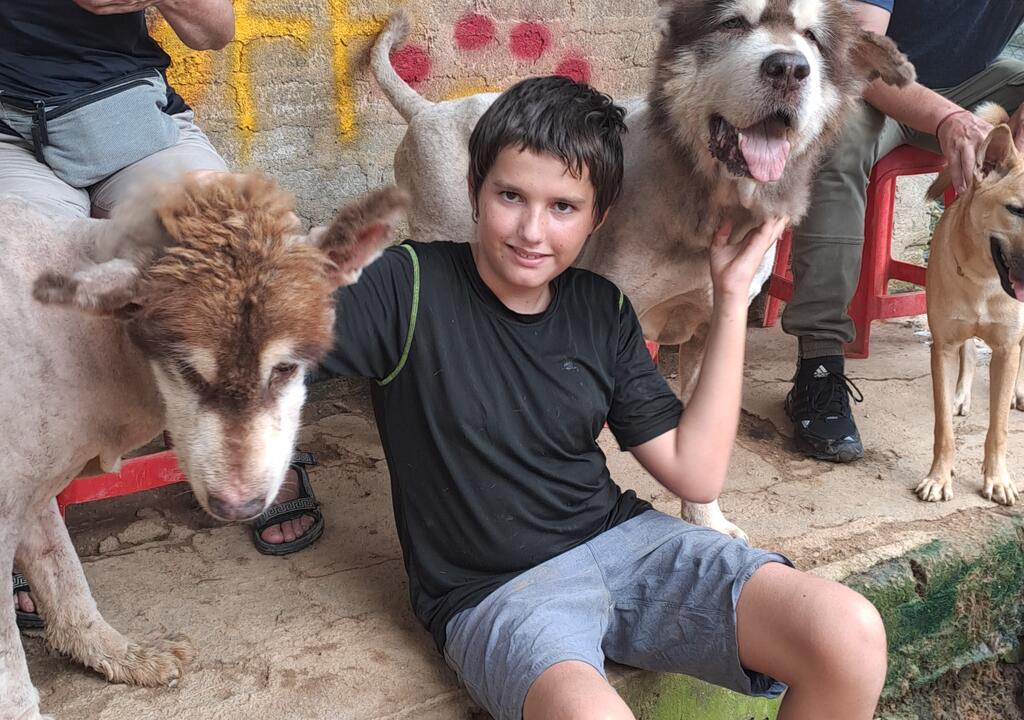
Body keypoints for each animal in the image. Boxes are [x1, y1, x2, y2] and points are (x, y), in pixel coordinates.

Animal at [916, 103, 1024, 507]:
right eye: (1016, 210)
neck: (984, 279)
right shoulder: (943, 346)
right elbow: (943, 425)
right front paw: (938, 477)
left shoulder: (1006, 349)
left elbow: (999, 428)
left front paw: (998, 479)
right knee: (968, 352)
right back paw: (961, 394)